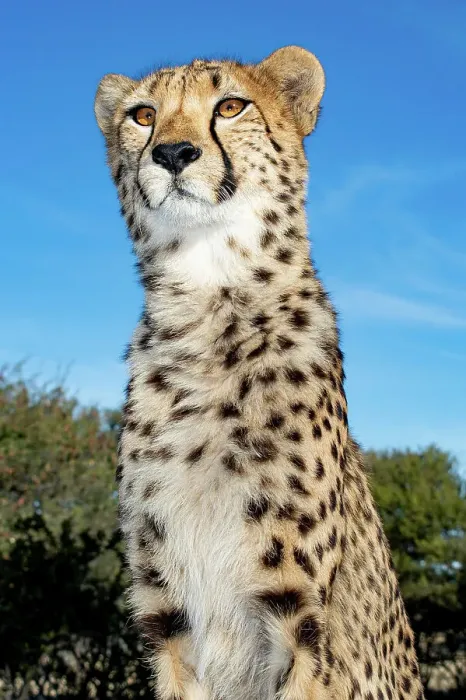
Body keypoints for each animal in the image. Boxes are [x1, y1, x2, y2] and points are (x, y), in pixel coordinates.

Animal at [94, 46, 425, 700]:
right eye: (143, 115)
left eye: (230, 106)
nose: (173, 153)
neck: (207, 306)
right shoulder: (165, 614)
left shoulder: (299, 618)